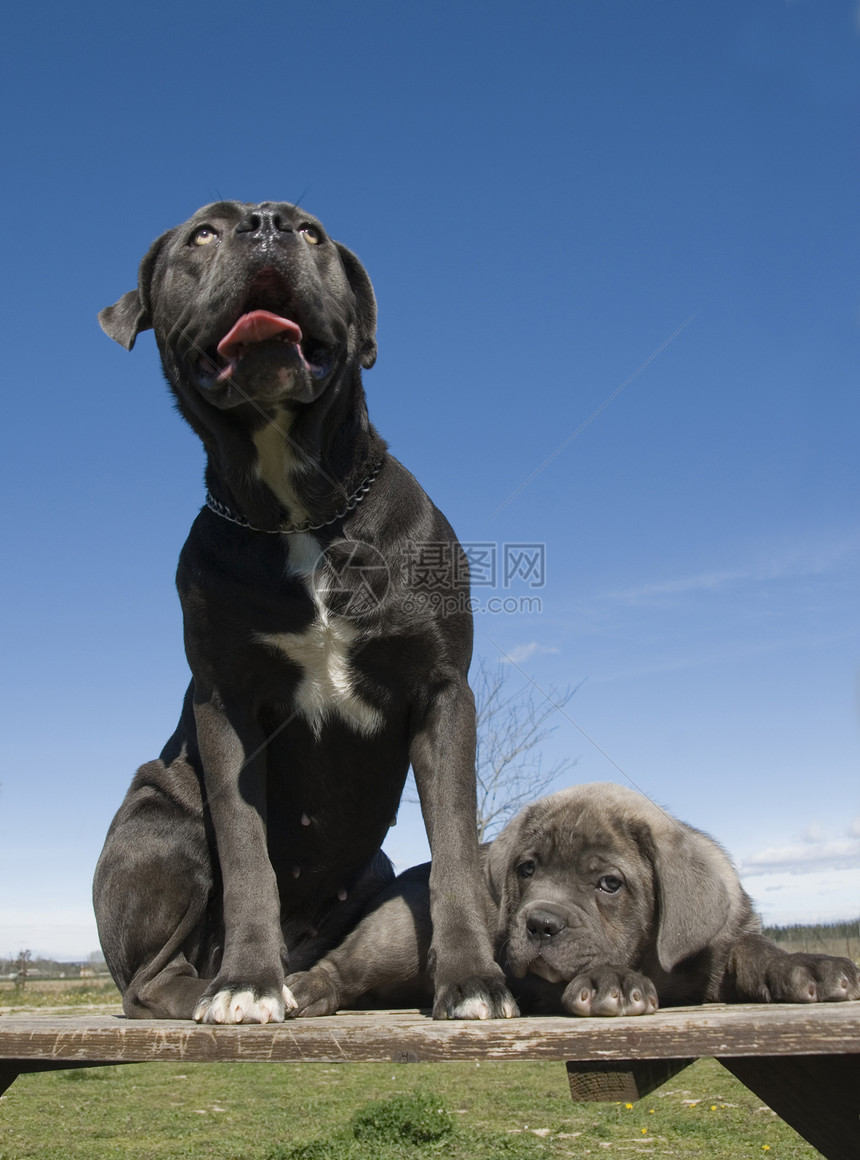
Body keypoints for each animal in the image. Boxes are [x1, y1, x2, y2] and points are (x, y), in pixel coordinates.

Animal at [92, 199, 512, 1025]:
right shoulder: (226, 703)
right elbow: (247, 851)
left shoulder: (442, 694)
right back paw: (224, 983)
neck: (297, 511)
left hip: (371, 868)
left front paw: (473, 979)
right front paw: (246, 983)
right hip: (161, 819)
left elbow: (454, 844)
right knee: (146, 982)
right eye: (202, 234)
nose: (263, 223)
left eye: (312, 231)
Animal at [285, 779, 858, 1016]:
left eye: (609, 883)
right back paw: (305, 989)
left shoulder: (721, 942)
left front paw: (808, 966)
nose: (539, 924)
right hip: (398, 934)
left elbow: (753, 950)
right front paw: (612, 983)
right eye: (526, 869)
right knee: (344, 966)